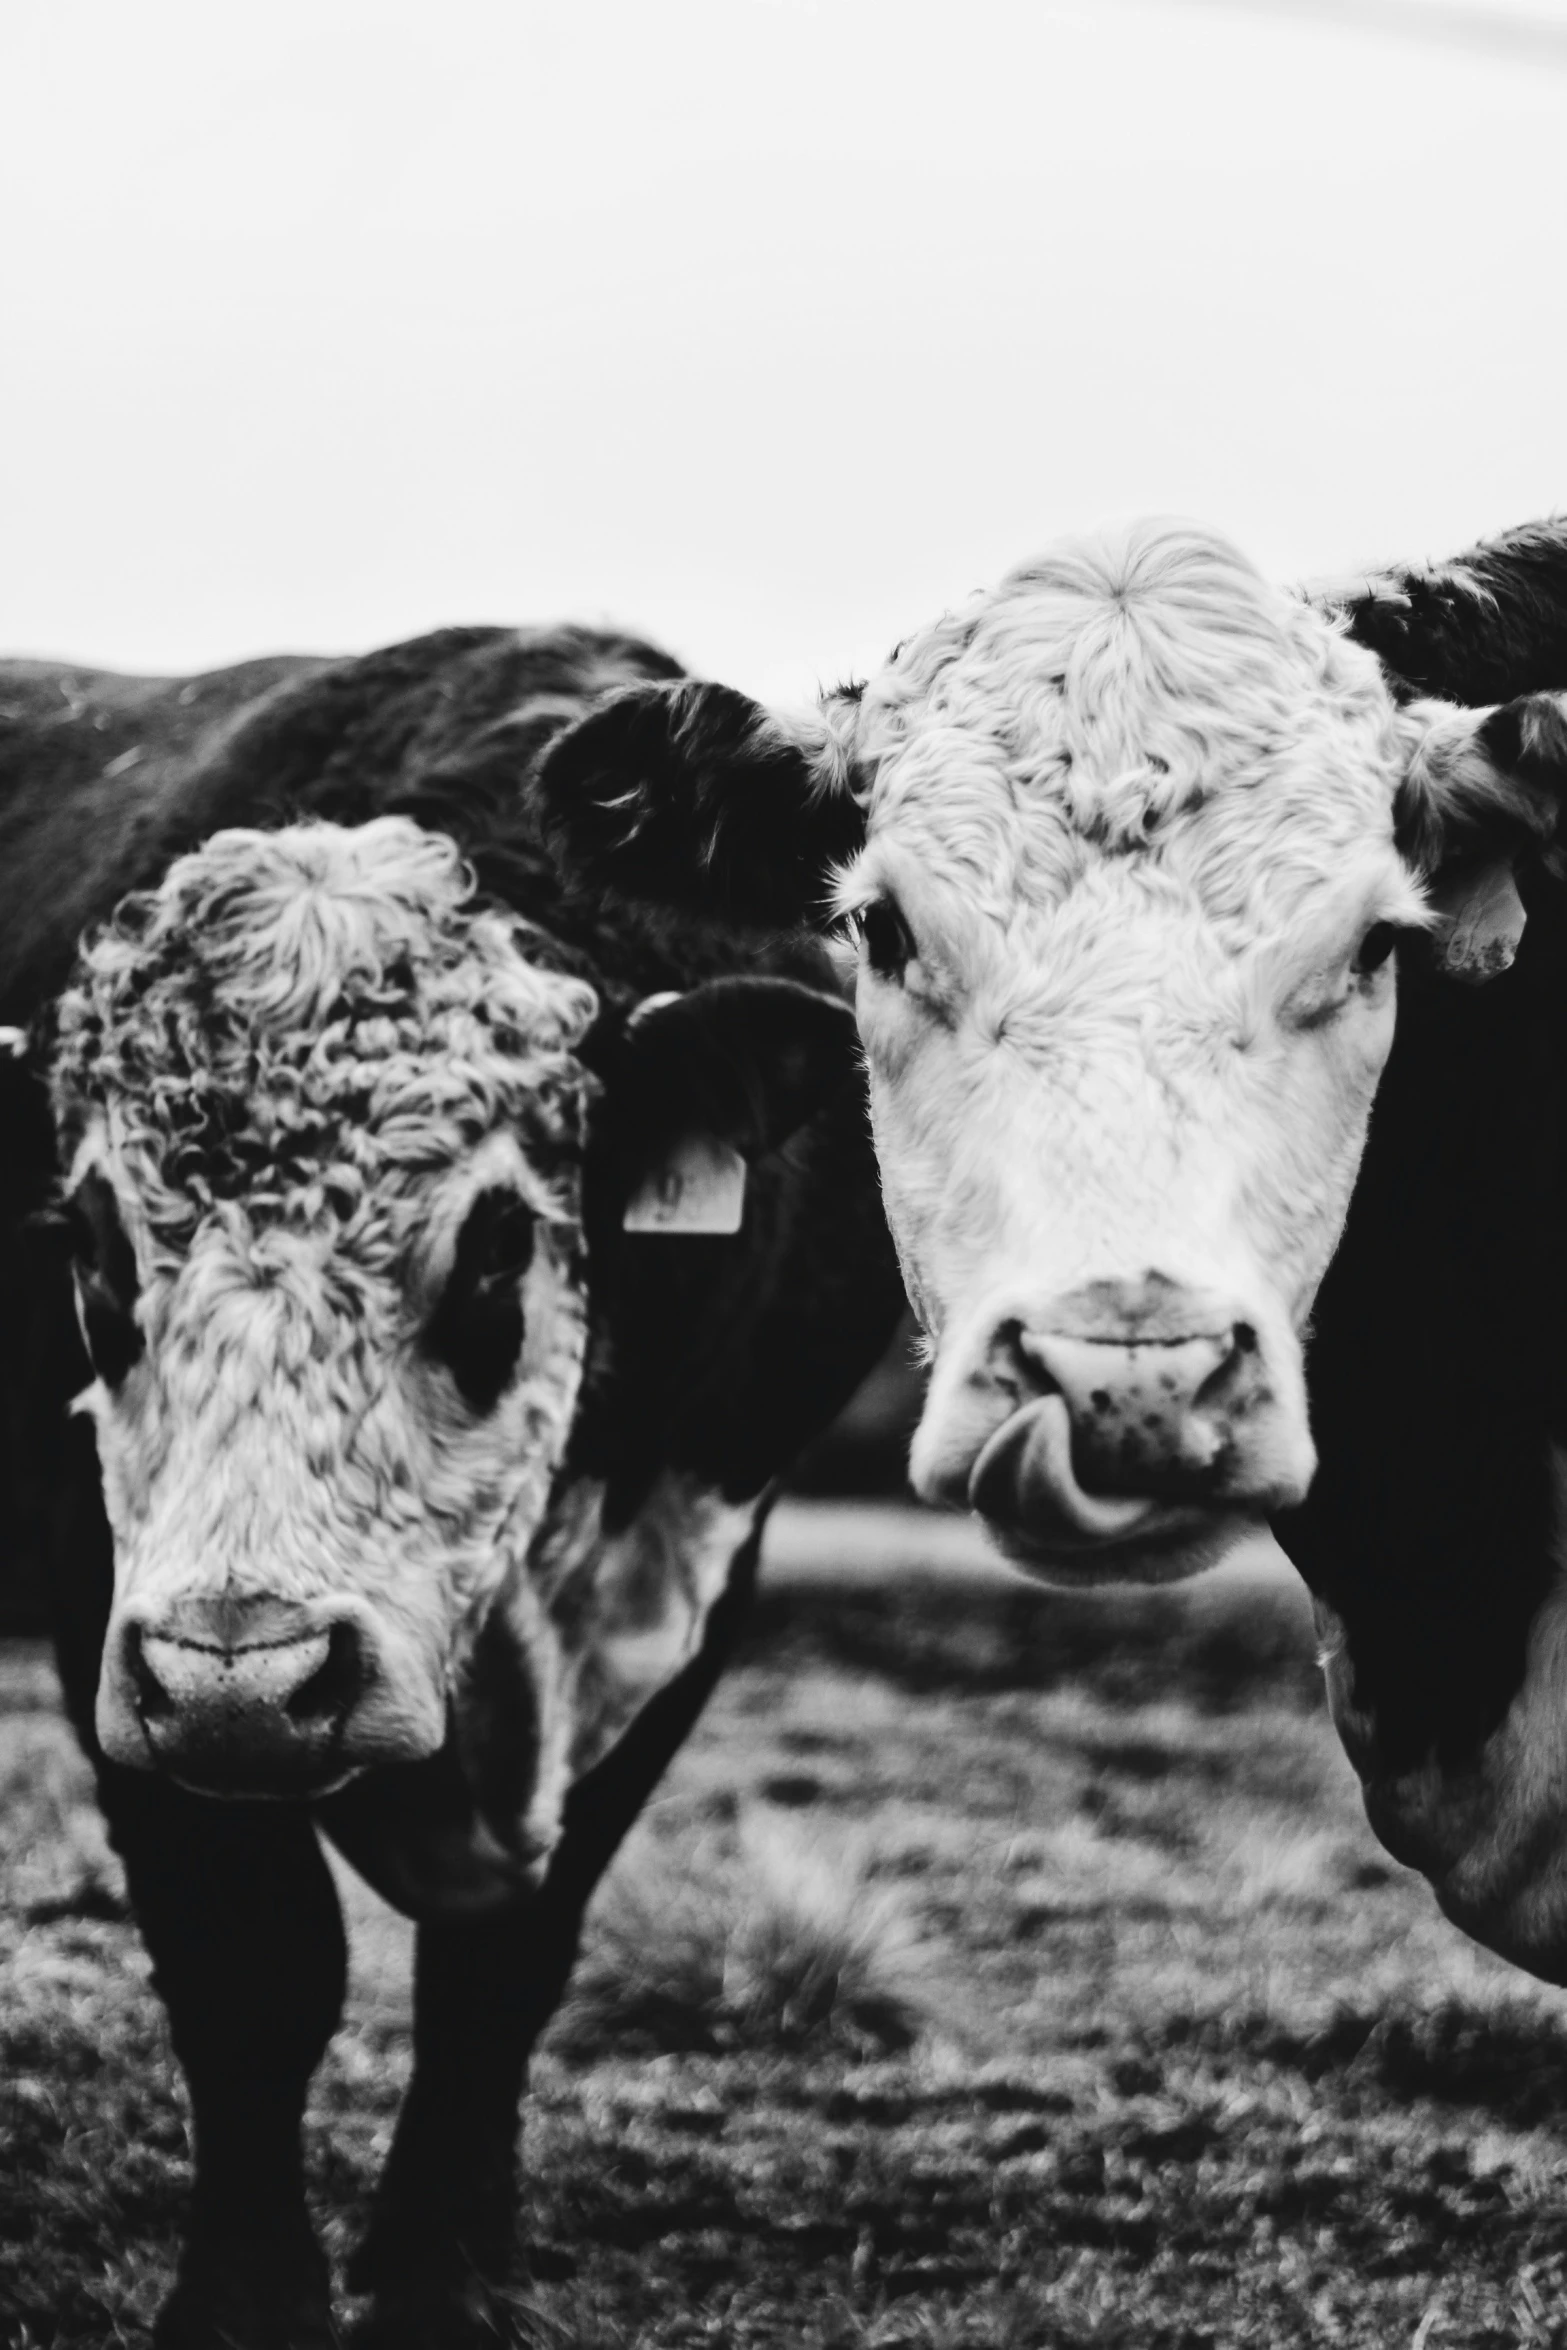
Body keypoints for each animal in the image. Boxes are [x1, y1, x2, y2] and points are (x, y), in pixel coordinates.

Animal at [0, 629, 906, 2350]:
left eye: (494, 1245)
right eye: (85, 1246)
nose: (251, 1673)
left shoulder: (693, 1577)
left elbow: (505, 1965)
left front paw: (448, 2268)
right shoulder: (118, 1610)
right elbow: (254, 1963)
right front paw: (248, 2295)